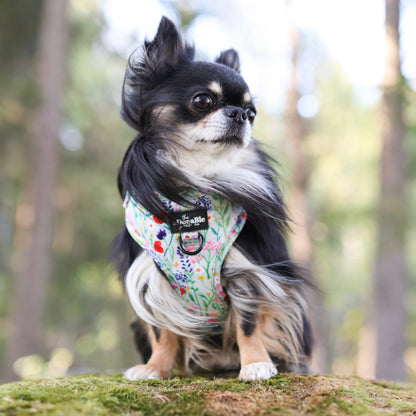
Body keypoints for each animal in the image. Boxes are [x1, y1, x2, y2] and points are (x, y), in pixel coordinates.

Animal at [112, 15, 314, 380]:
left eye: (252, 113)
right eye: (203, 100)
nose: (240, 114)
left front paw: (256, 364)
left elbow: (249, 323)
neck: (196, 189)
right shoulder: (150, 279)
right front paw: (154, 368)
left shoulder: (248, 272)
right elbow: (163, 331)